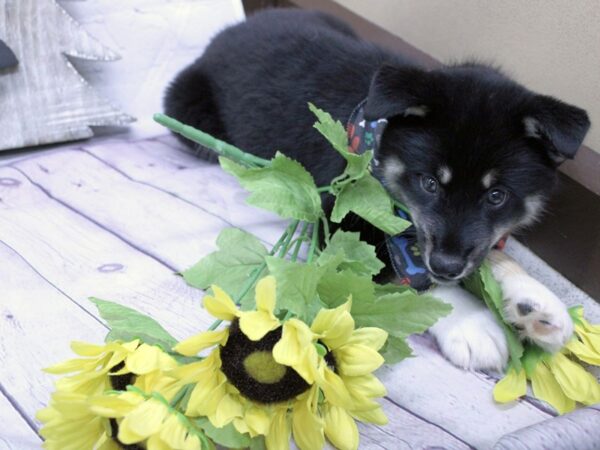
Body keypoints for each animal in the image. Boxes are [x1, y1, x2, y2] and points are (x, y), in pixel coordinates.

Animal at [164, 8, 592, 370]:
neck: (379, 146)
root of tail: (231, 29)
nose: (447, 266)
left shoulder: (466, 238)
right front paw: (473, 323)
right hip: (190, 114)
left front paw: (535, 301)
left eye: (496, 195)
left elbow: (489, 252)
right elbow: (404, 274)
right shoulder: (338, 223)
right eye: (429, 183)